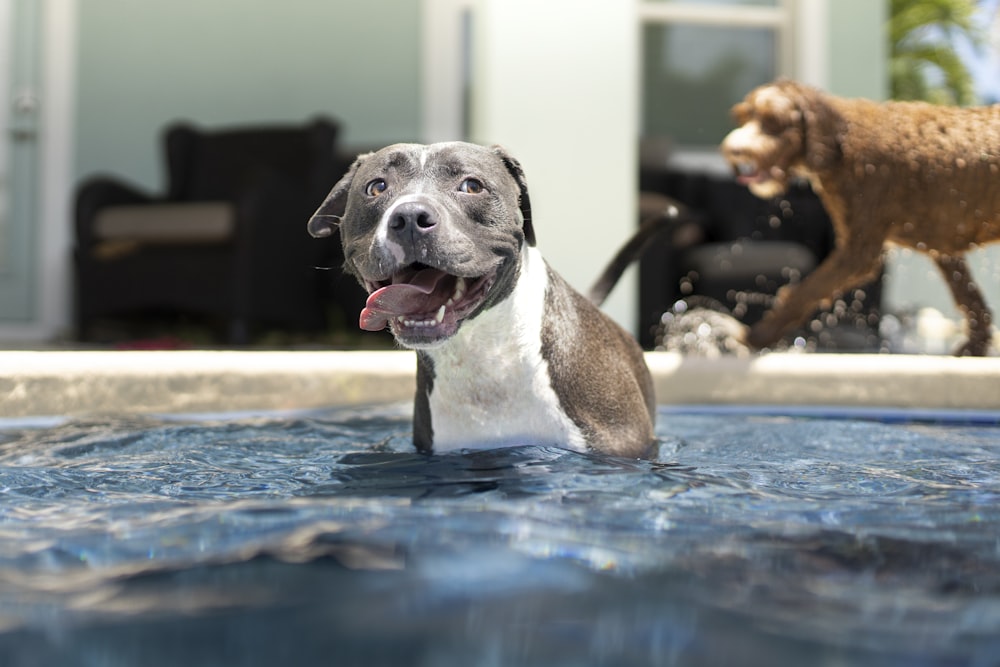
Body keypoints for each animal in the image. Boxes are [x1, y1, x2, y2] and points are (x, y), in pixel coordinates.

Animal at [724, 79, 996, 354]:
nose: (735, 150)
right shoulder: (942, 246)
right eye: (743, 116)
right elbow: (970, 299)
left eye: (773, 121)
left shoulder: (859, 251)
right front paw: (973, 348)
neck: (840, 140)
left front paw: (754, 337)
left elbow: (806, 292)